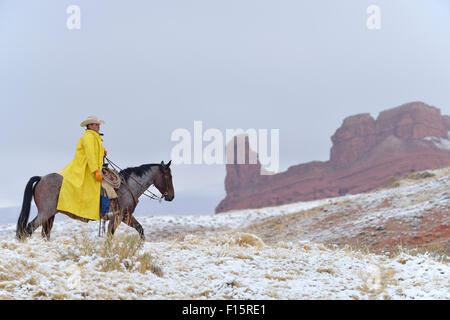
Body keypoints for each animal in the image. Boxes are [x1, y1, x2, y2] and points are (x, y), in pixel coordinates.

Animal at [15, 161, 174, 241]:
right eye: (169, 176)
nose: (171, 196)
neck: (127, 186)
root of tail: (41, 178)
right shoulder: (117, 217)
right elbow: (110, 234)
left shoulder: (127, 216)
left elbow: (140, 229)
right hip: (45, 213)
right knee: (28, 229)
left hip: (50, 215)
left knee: (45, 233)